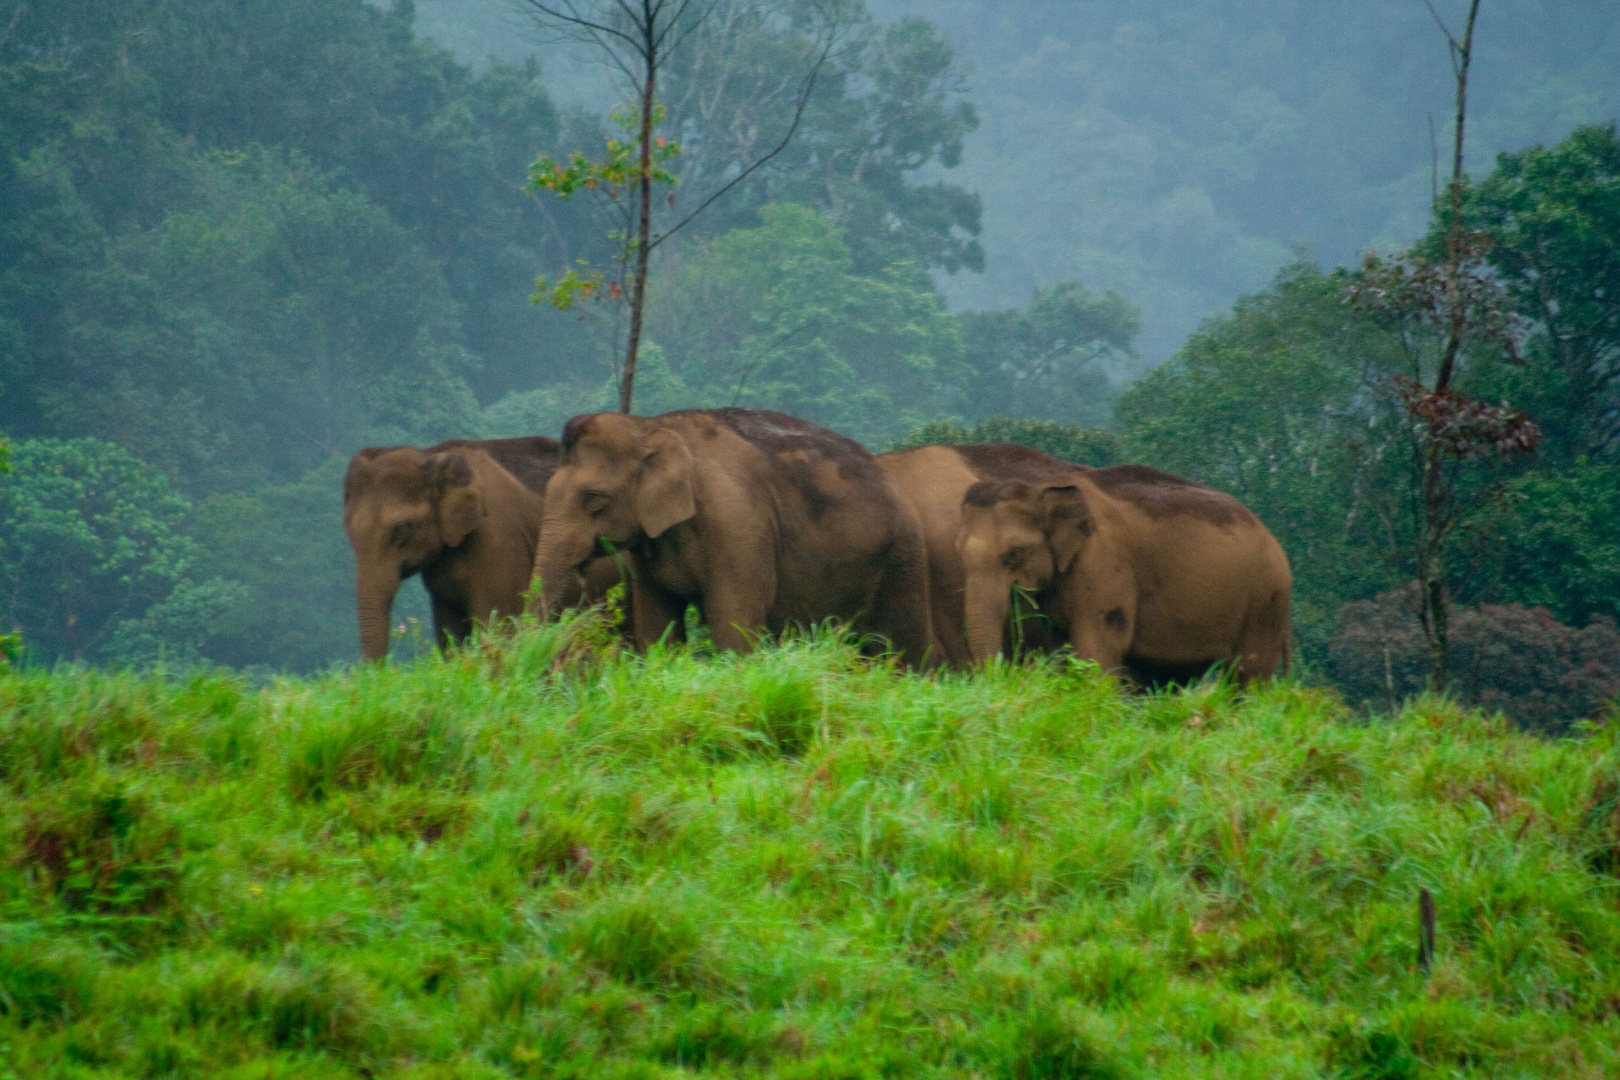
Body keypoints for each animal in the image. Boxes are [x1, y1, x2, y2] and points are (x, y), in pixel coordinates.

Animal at [341, 437, 625, 660]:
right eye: (347, 529)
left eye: (401, 529)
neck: (432, 455)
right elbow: (451, 638)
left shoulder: (497, 540)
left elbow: (497, 627)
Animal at [528, 409, 939, 663]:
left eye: (594, 501)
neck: (649, 425)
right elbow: (655, 626)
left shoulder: (738, 522)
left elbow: (734, 620)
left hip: (903, 559)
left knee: (902, 648)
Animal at [959, 466, 1289, 683]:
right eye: (957, 550)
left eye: (1014, 553)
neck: (1041, 487)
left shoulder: (1104, 567)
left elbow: (1096, 650)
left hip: (1266, 601)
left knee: (1247, 677)